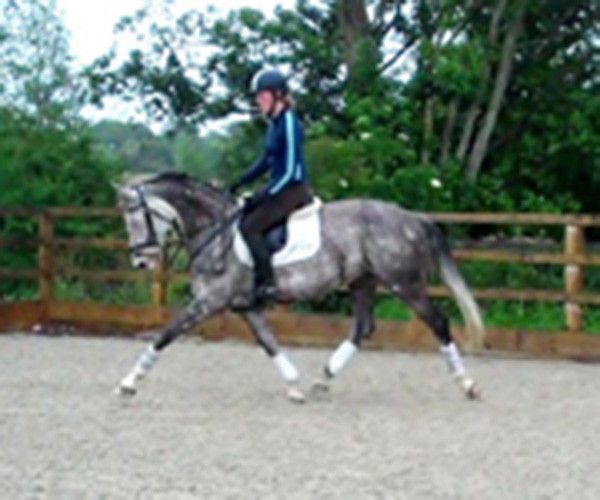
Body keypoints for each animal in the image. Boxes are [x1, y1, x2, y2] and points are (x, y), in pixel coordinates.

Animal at [115, 172, 485, 402]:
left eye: (139, 218)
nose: (141, 263)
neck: (216, 231)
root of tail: (412, 217)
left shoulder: (209, 300)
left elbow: (166, 334)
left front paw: (129, 382)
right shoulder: (245, 306)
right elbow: (269, 342)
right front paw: (294, 386)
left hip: (404, 283)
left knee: (438, 322)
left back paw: (468, 384)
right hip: (363, 282)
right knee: (363, 327)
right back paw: (323, 379)